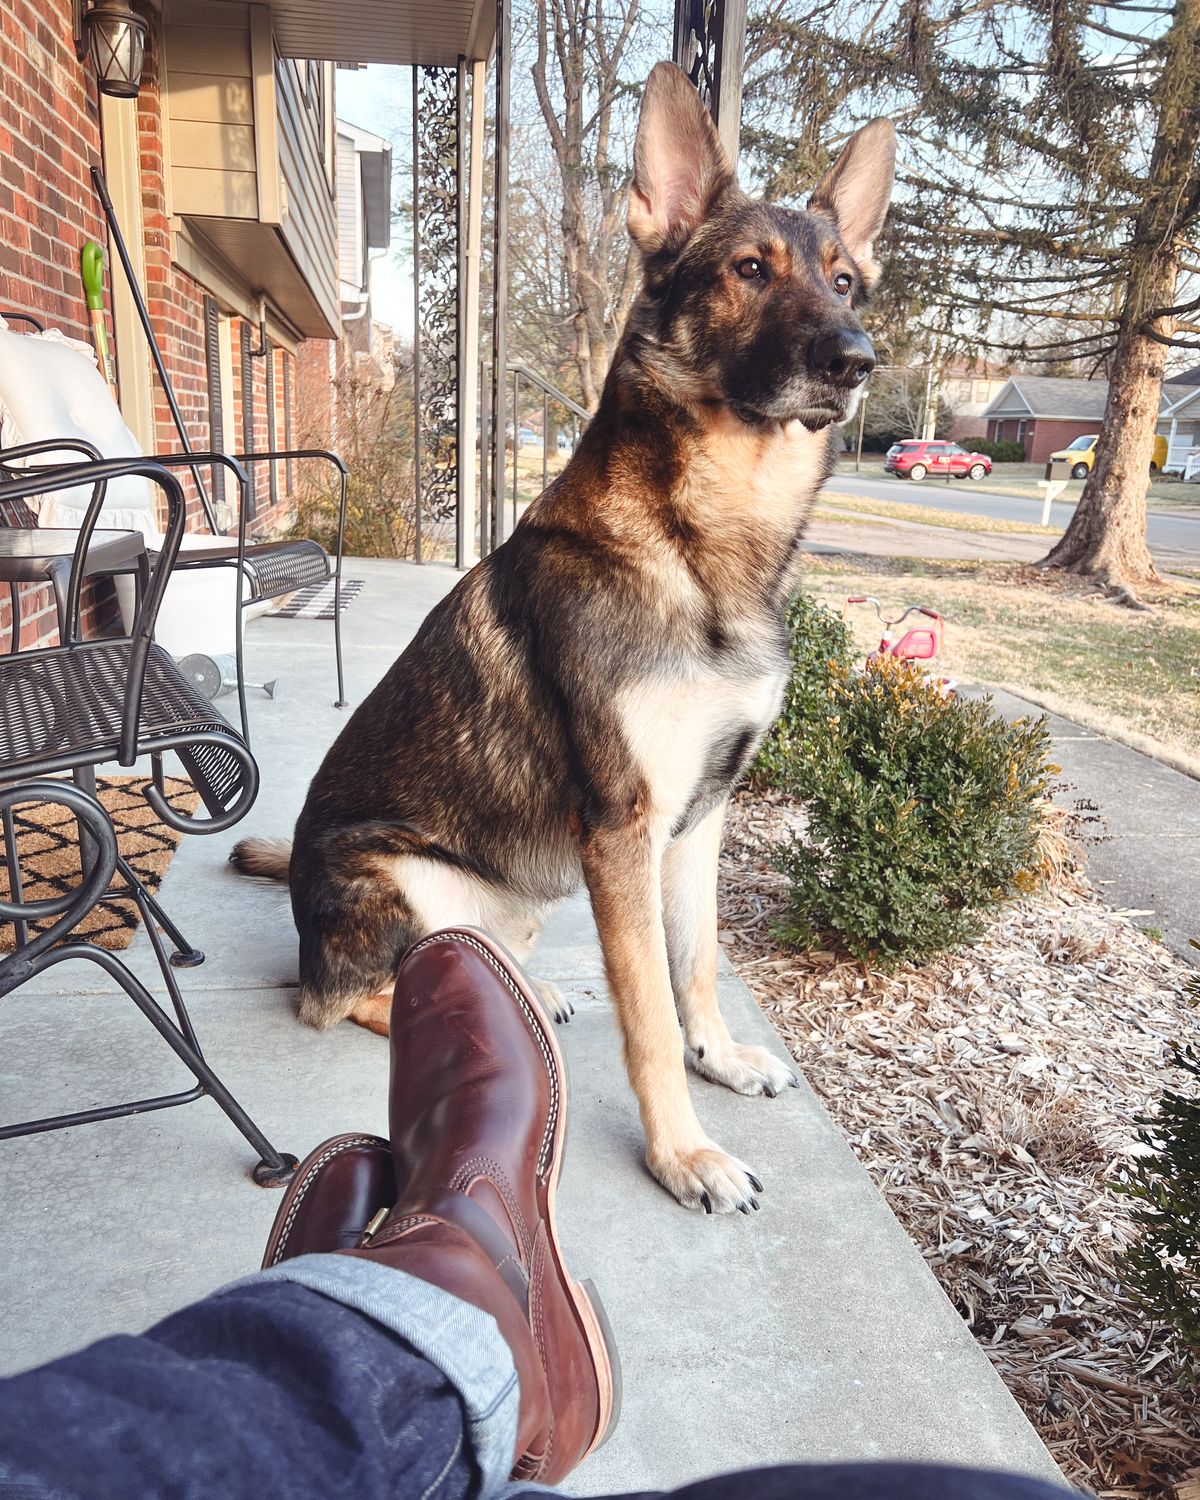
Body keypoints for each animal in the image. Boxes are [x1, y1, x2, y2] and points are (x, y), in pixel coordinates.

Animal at [234, 67, 888, 1218]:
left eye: (846, 281)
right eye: (749, 270)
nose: (856, 362)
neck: (705, 545)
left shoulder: (700, 819)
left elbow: (695, 965)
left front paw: (720, 1056)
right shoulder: (625, 830)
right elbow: (648, 1014)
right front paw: (683, 1154)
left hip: (520, 905)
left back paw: (524, 990)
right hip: (400, 882)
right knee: (344, 997)